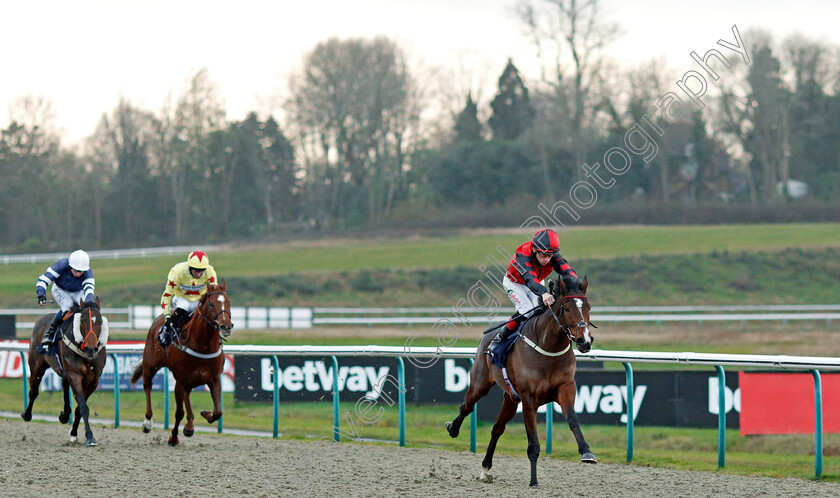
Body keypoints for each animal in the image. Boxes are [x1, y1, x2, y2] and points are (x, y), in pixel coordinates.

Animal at [20, 296, 109, 448]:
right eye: (82, 320)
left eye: (100, 321)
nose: (91, 348)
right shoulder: (75, 374)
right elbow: (83, 406)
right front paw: (90, 437)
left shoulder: (93, 379)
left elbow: (80, 408)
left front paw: (75, 434)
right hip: (36, 366)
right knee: (34, 392)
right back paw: (27, 415)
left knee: (64, 386)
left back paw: (65, 415)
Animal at [130, 280, 233, 448]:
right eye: (211, 304)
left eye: (228, 302)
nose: (226, 326)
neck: (202, 346)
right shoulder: (181, 380)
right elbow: (179, 413)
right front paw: (173, 437)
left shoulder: (214, 379)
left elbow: (218, 412)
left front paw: (205, 414)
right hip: (151, 365)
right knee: (148, 386)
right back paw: (148, 422)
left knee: (187, 395)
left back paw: (189, 425)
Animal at [446, 276, 596, 486]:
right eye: (566, 308)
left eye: (588, 307)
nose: (585, 341)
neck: (549, 347)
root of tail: (486, 337)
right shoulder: (529, 398)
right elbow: (533, 442)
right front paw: (533, 480)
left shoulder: (566, 388)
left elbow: (573, 420)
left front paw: (586, 452)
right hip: (480, 384)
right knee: (466, 406)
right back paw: (453, 429)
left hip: (511, 398)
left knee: (497, 428)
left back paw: (485, 468)